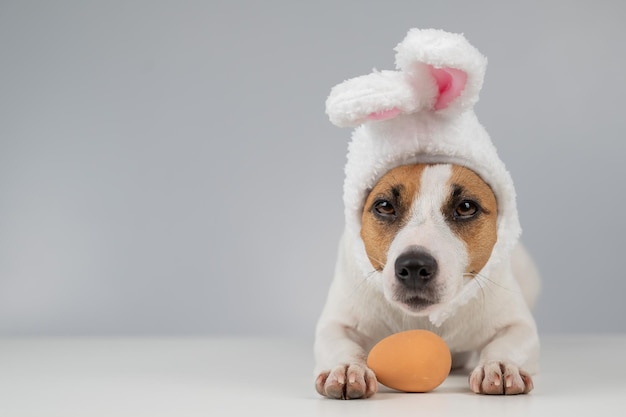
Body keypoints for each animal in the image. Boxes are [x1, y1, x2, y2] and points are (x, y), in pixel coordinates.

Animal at [314, 27, 540, 398]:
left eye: (466, 207)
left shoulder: (517, 323)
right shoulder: (337, 321)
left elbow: (508, 340)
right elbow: (340, 342)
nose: (414, 266)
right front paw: (346, 367)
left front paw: (501, 365)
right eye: (385, 206)